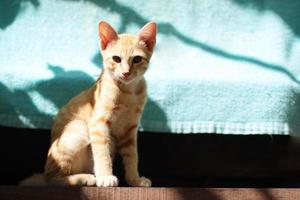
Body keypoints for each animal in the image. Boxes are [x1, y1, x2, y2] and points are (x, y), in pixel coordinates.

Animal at [21, 21, 157, 187]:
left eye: (137, 59)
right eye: (116, 59)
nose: (126, 73)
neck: (129, 92)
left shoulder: (130, 130)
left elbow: (132, 156)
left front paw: (135, 180)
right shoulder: (98, 124)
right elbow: (102, 154)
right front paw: (106, 176)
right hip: (79, 127)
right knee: (53, 178)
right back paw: (85, 178)